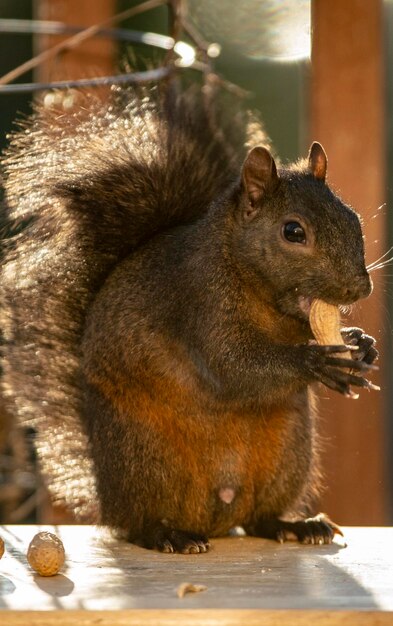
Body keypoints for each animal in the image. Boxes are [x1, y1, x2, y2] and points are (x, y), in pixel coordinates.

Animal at [1, 83, 378, 552]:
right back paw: (168, 534)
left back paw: (294, 525)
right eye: (293, 232)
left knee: (259, 518)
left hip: (290, 448)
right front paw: (317, 360)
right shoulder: (197, 300)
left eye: (352, 218)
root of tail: (215, 517)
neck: (248, 277)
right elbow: (231, 367)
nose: (360, 289)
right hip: (145, 456)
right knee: (138, 523)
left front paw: (361, 344)